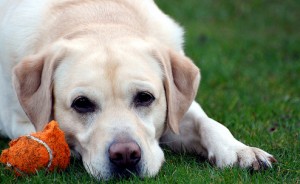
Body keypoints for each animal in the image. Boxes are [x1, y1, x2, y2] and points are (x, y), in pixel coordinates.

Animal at [0, 0, 276, 180]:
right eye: (82, 103)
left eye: (145, 97)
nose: (125, 155)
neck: (97, 16)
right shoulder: (19, 121)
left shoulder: (178, 109)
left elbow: (208, 123)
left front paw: (240, 151)